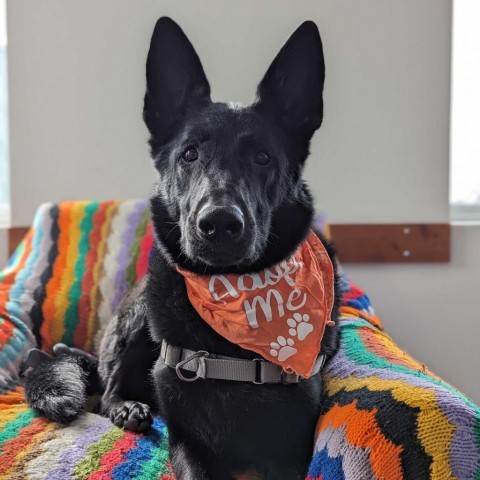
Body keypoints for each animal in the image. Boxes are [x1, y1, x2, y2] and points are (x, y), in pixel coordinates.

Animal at [24, 17, 340, 480]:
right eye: (189, 154)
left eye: (263, 157)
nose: (219, 224)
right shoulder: (189, 441)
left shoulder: (291, 451)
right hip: (137, 317)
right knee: (105, 392)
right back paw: (127, 407)